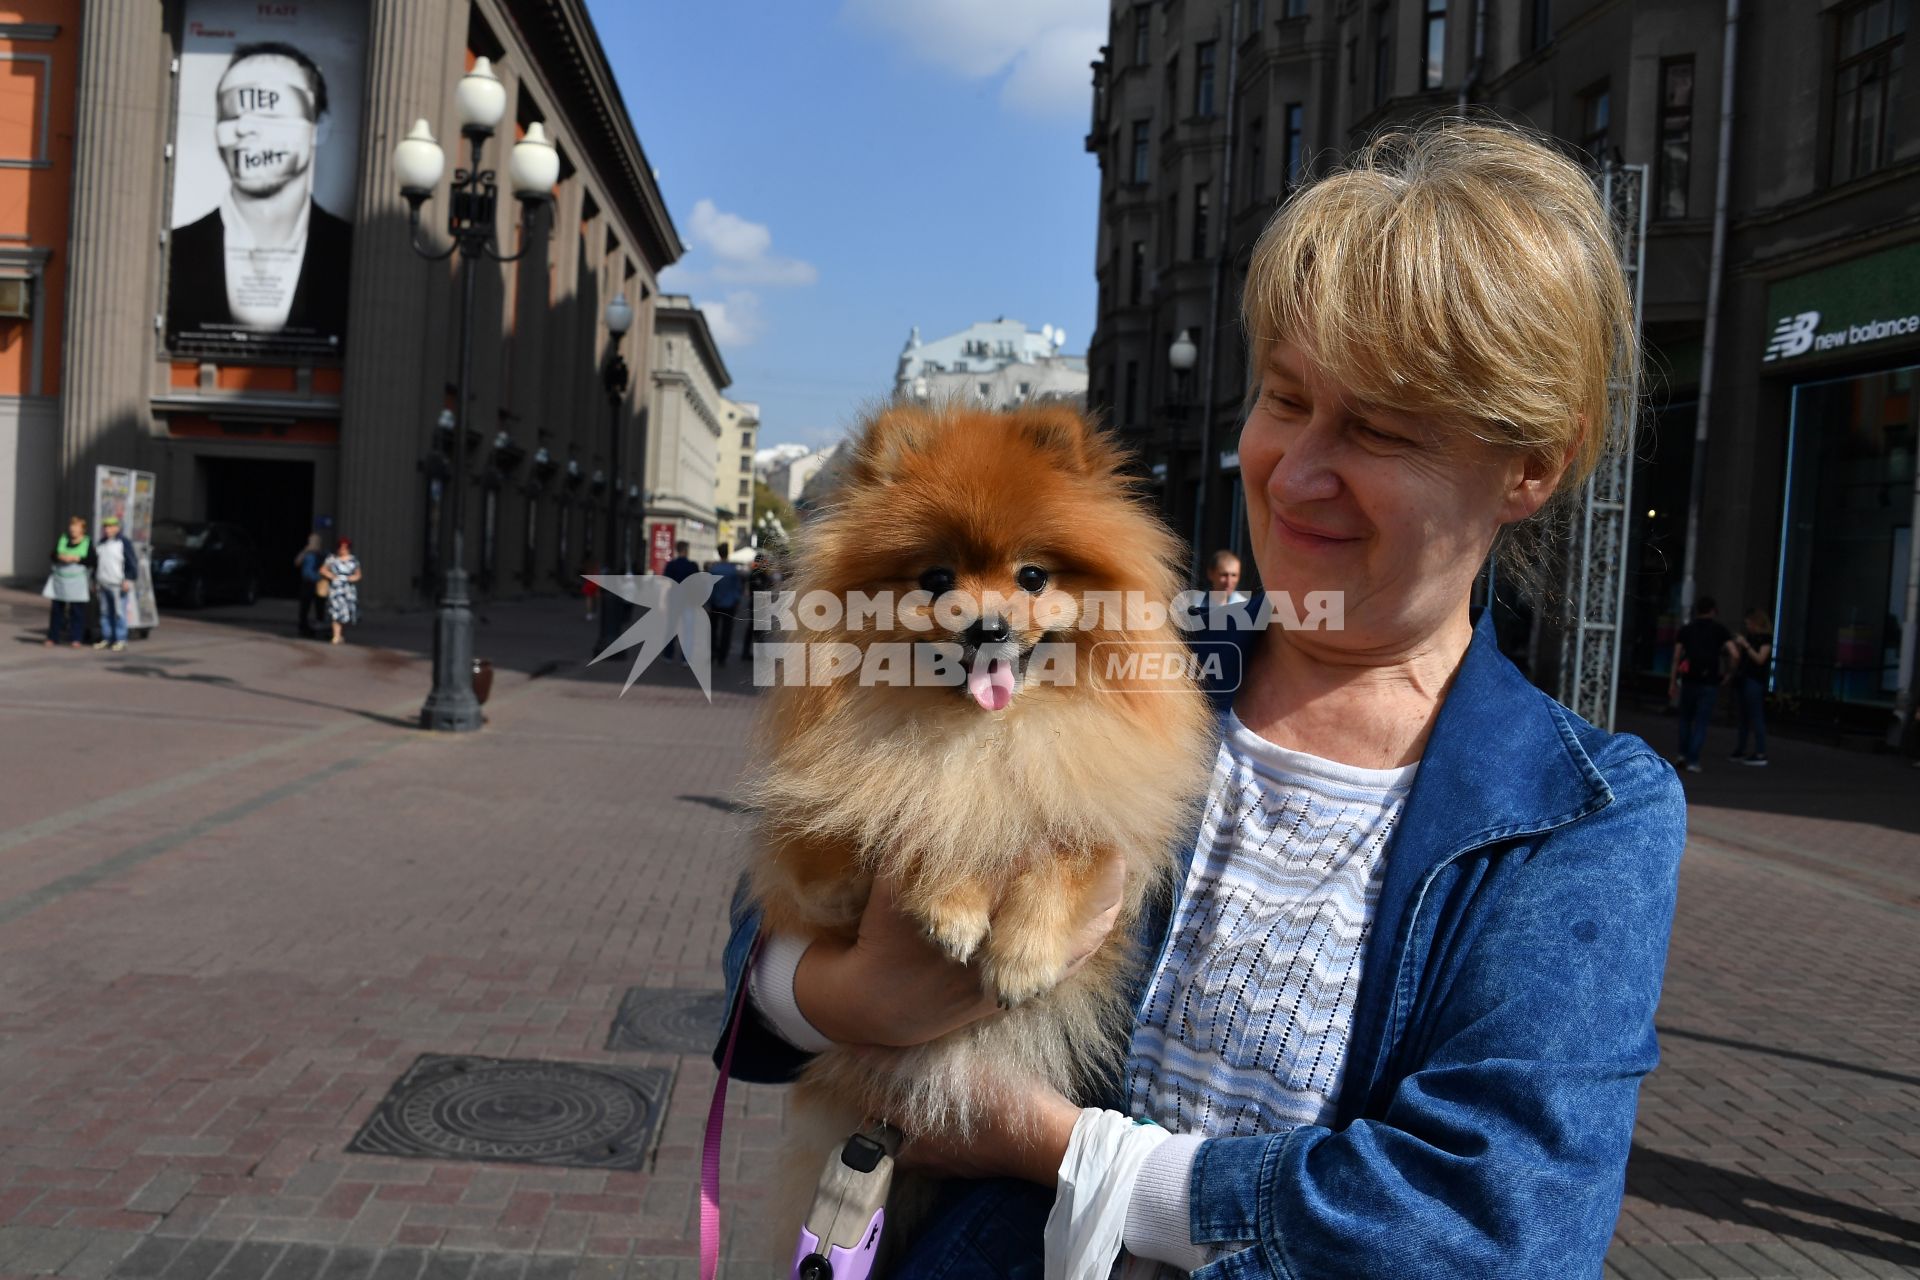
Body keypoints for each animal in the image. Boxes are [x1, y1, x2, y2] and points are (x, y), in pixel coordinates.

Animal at [741, 401, 1205, 1251]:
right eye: (935, 579)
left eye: (1033, 577)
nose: (987, 626)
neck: (986, 740)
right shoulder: (819, 863)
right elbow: (908, 820)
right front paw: (950, 901)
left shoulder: (1102, 817)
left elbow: (1060, 850)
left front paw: (1022, 955)